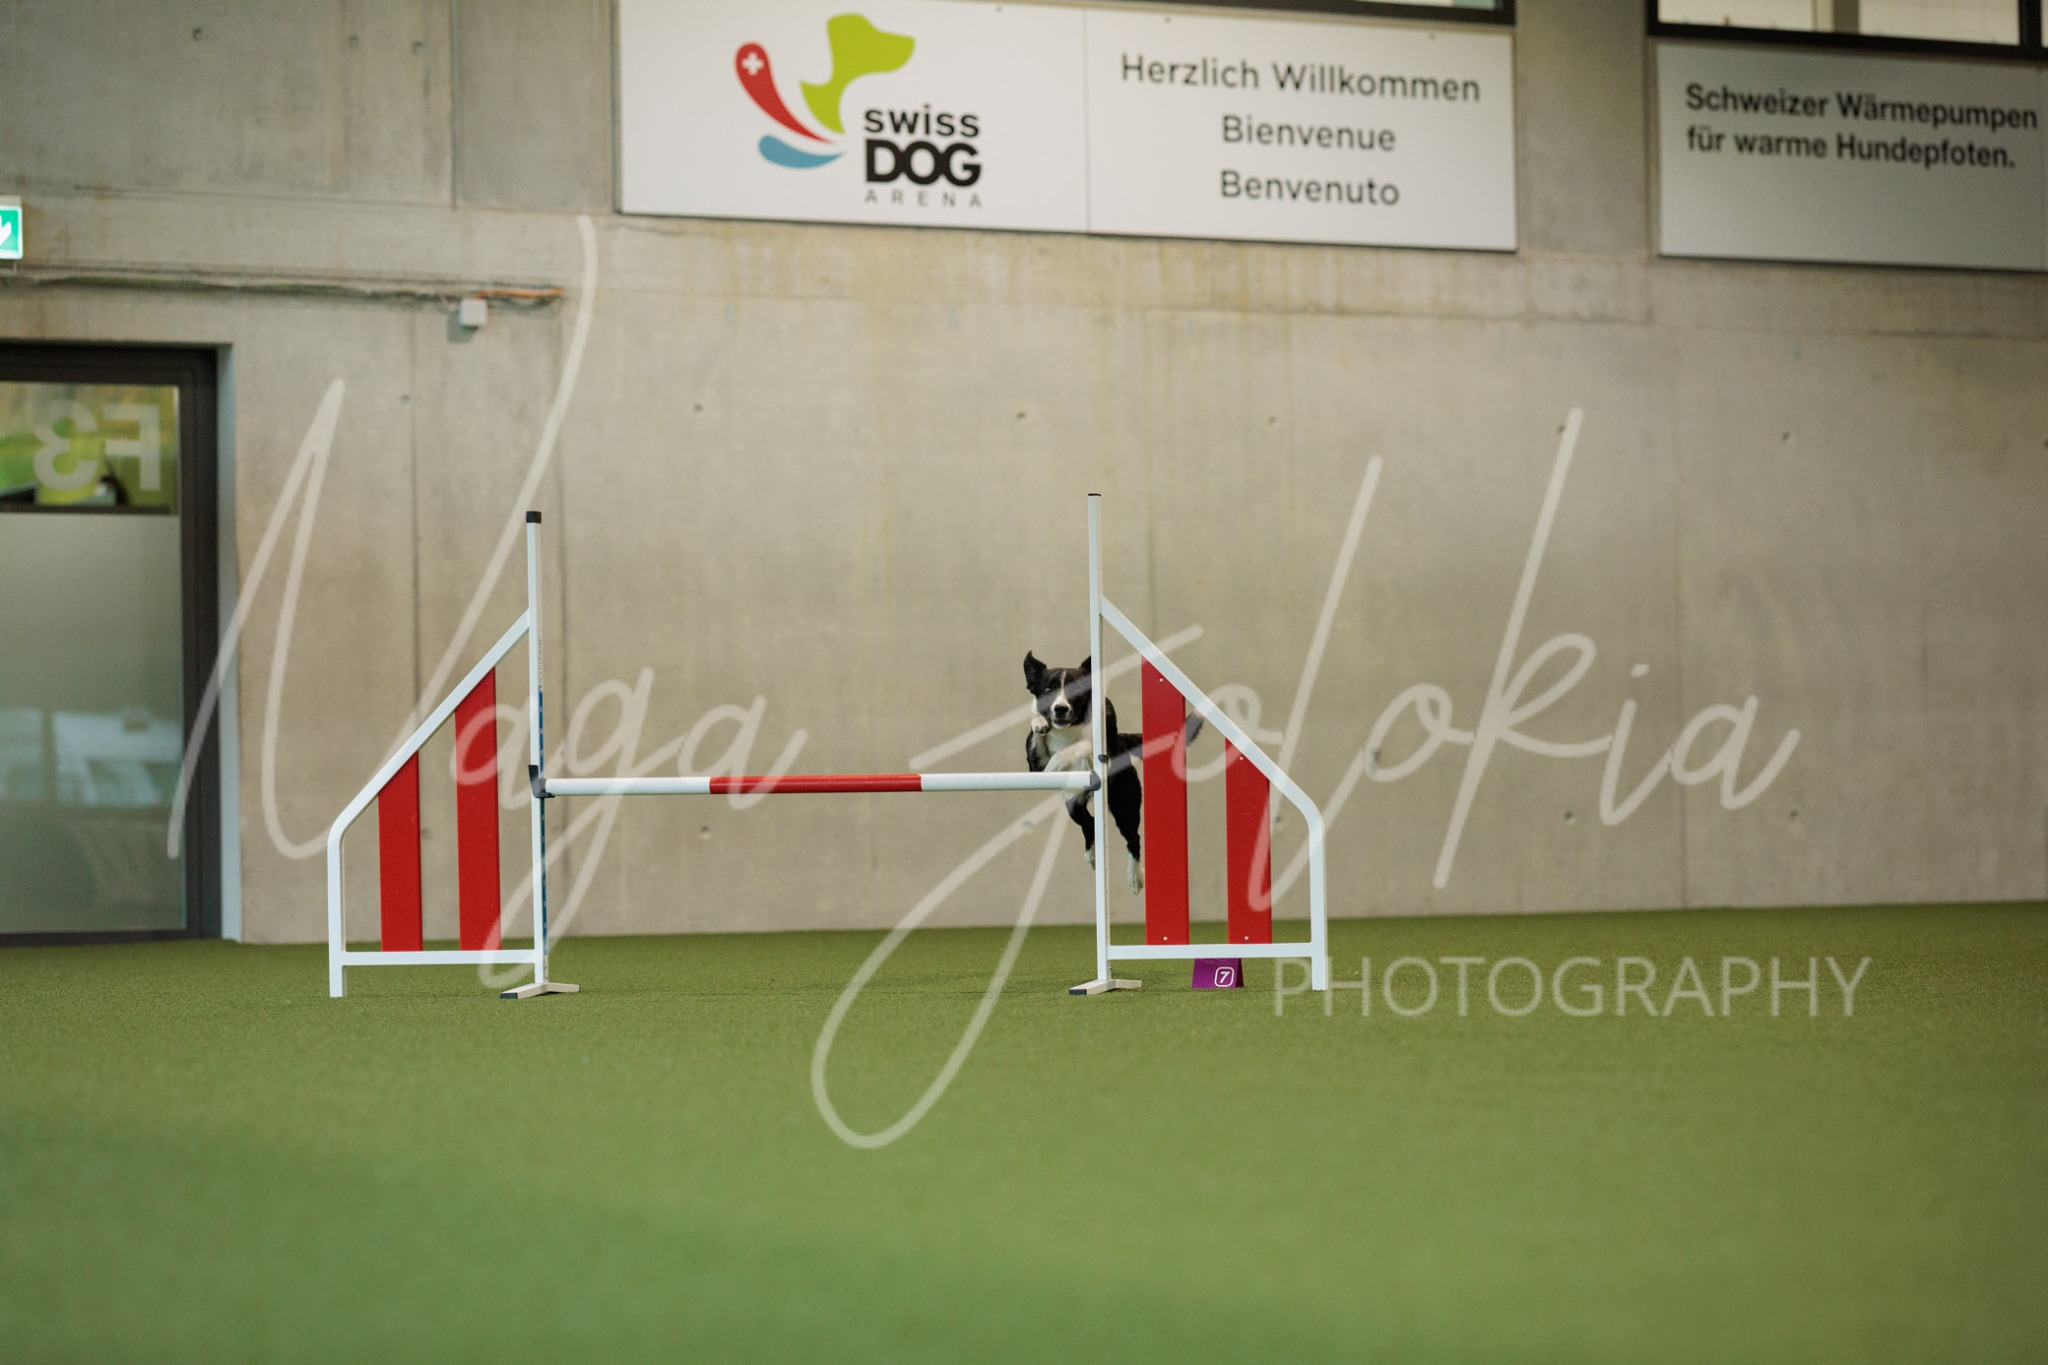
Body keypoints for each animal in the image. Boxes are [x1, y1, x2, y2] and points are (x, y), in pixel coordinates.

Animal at [1023, 652, 1202, 892]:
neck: (1070, 728)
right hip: (1073, 804)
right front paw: (1039, 722)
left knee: (1133, 838)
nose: (1060, 709)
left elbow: (1084, 744)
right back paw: (1091, 855)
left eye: (1076, 689)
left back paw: (1135, 877)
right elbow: (1036, 737)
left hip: (1124, 805)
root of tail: (1124, 741)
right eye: (1048, 689)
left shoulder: (1102, 744)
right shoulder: (1035, 766)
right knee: (1089, 822)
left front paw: (1058, 760)